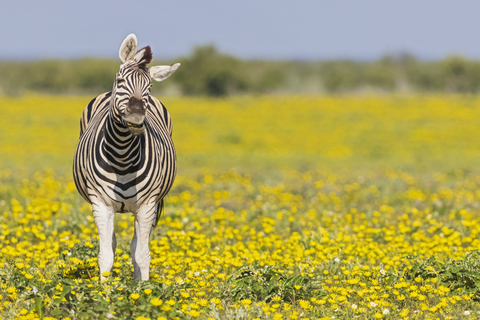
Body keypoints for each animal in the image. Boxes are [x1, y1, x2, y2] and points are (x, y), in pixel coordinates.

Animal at [73, 34, 180, 280]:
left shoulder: (148, 204)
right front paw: (104, 289)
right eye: (121, 81)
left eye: (149, 87)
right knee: (112, 243)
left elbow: (141, 254)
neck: (121, 155)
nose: (135, 117)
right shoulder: (100, 203)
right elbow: (105, 256)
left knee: (135, 245)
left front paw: (143, 288)